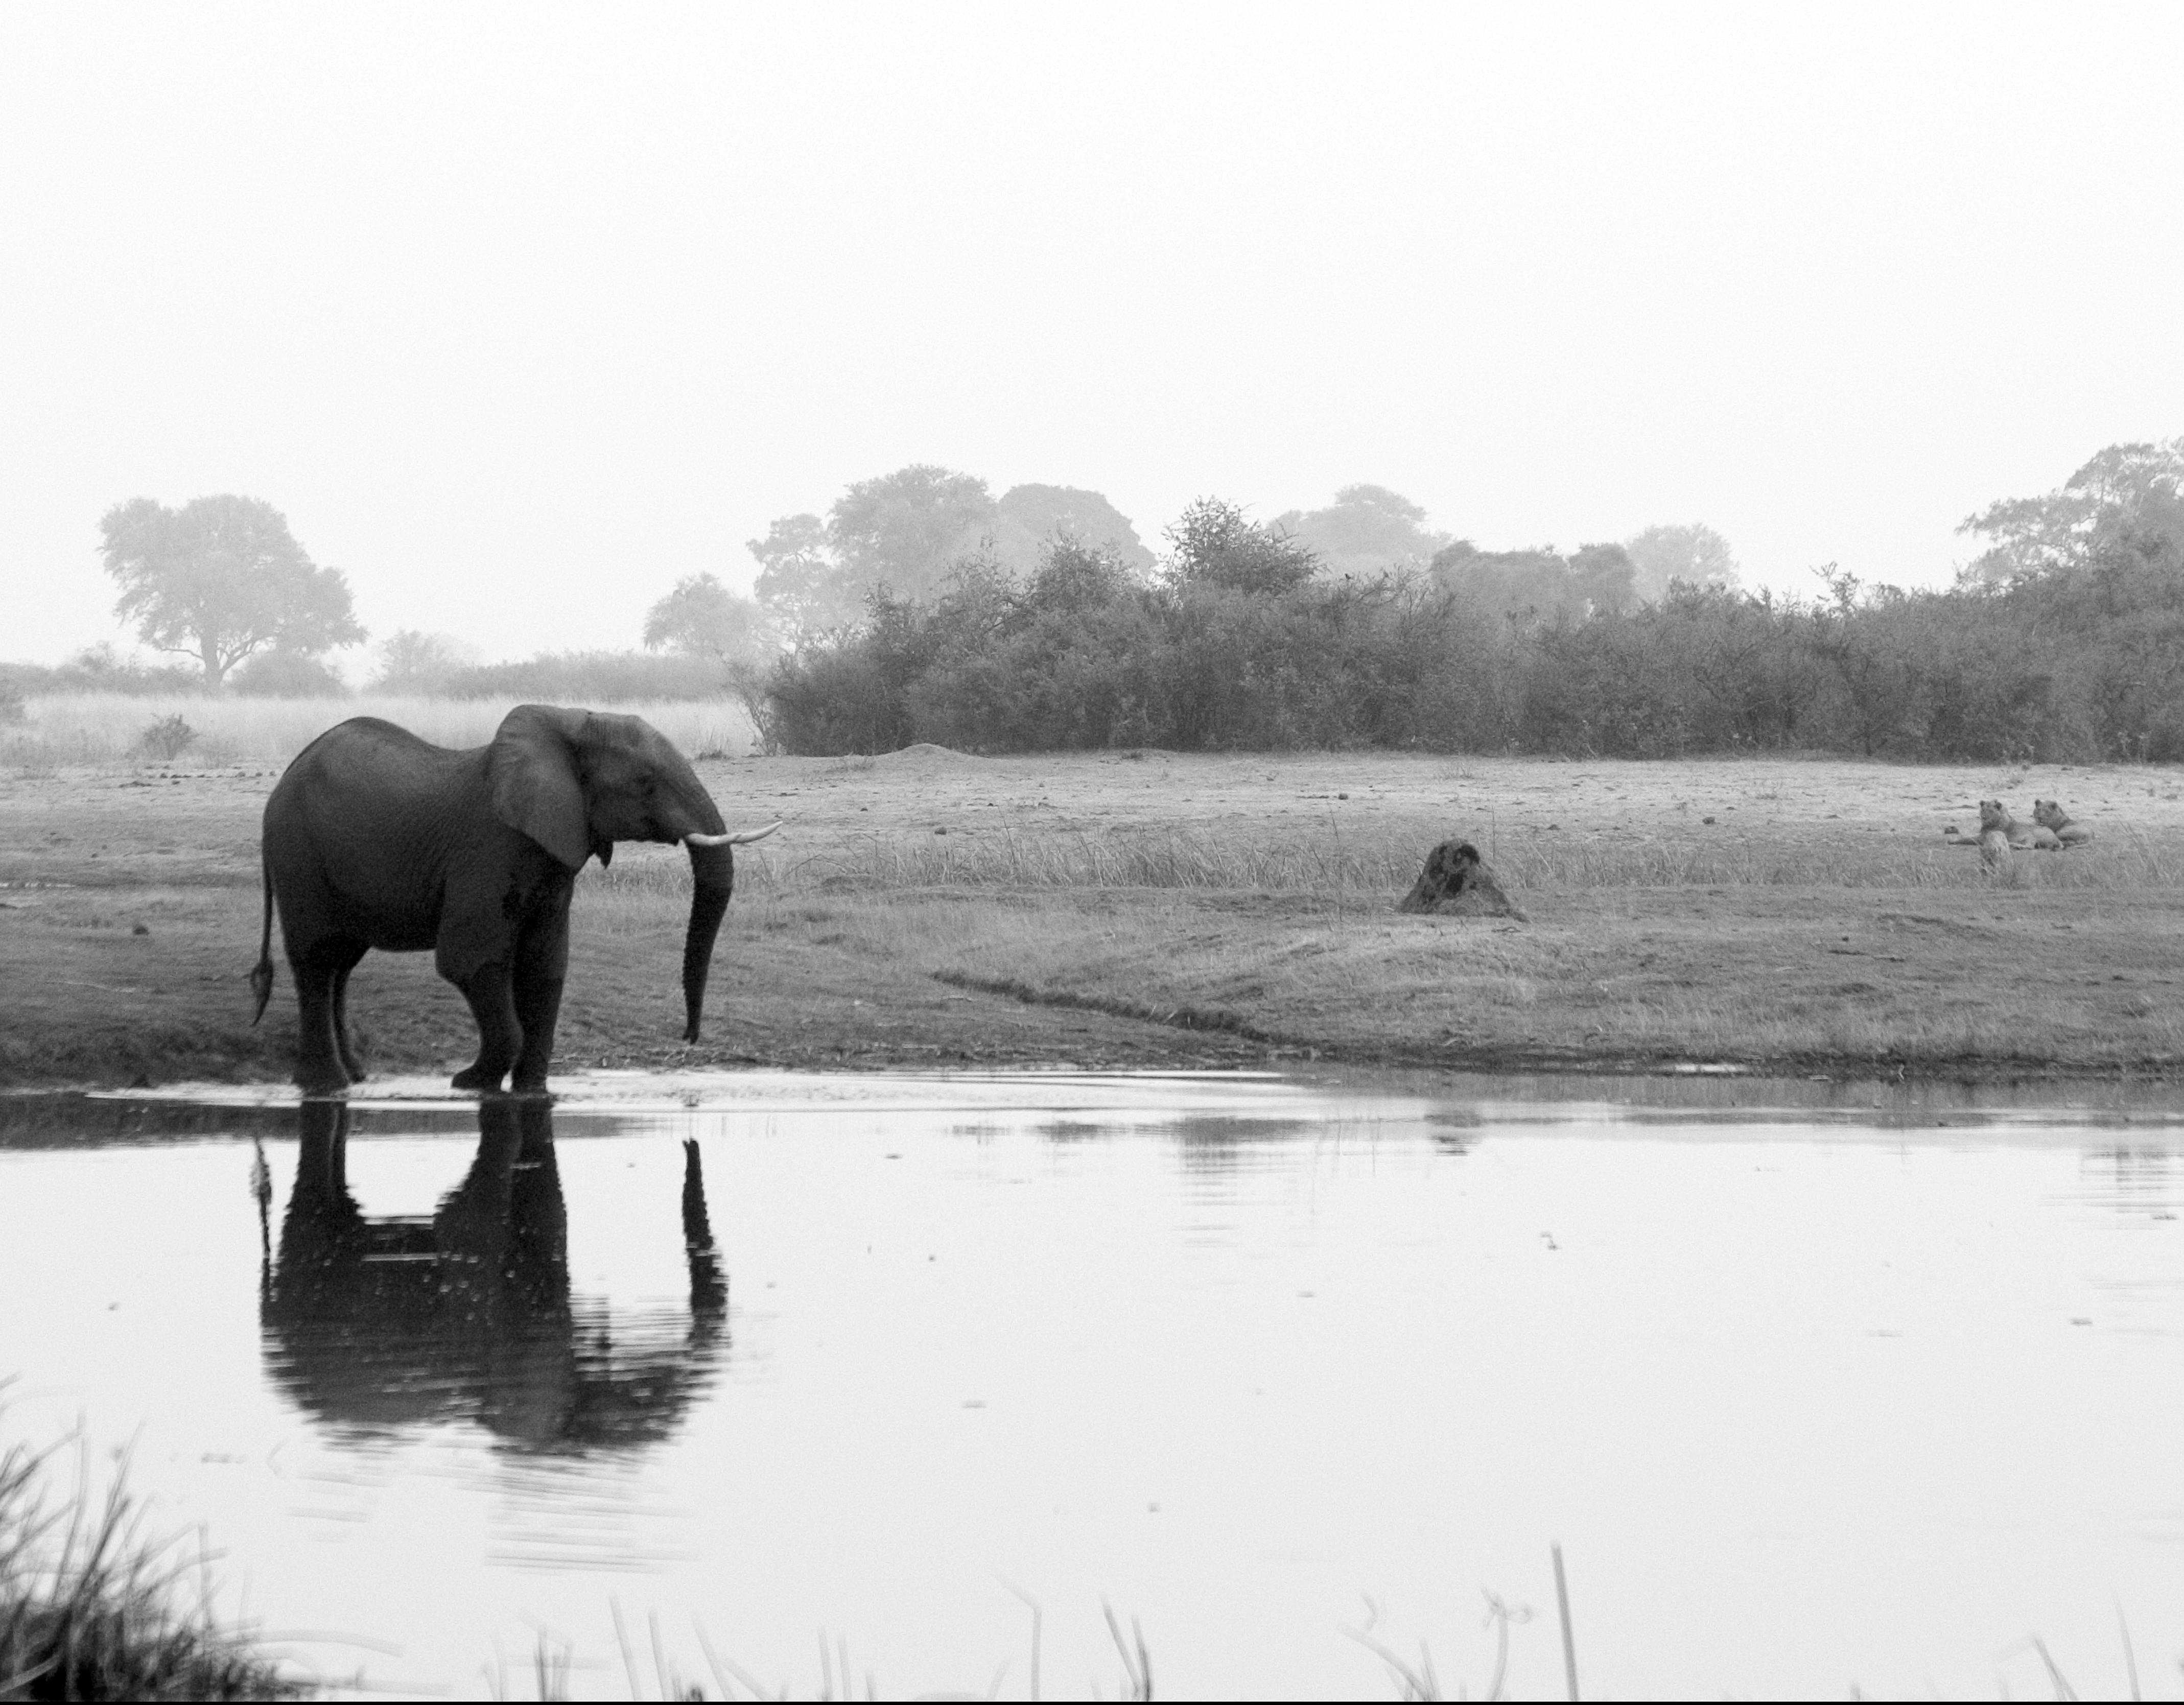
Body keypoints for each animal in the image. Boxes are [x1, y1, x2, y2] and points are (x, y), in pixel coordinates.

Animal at [251, 704, 777, 1092]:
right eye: (645, 784)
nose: (688, 1037)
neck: (570, 724)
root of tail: (286, 776)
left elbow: (546, 967)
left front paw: (531, 1091)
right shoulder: (486, 851)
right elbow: (471, 961)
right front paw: (469, 1084)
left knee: (341, 963)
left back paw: (356, 1078)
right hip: (297, 852)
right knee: (317, 960)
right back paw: (327, 1086)